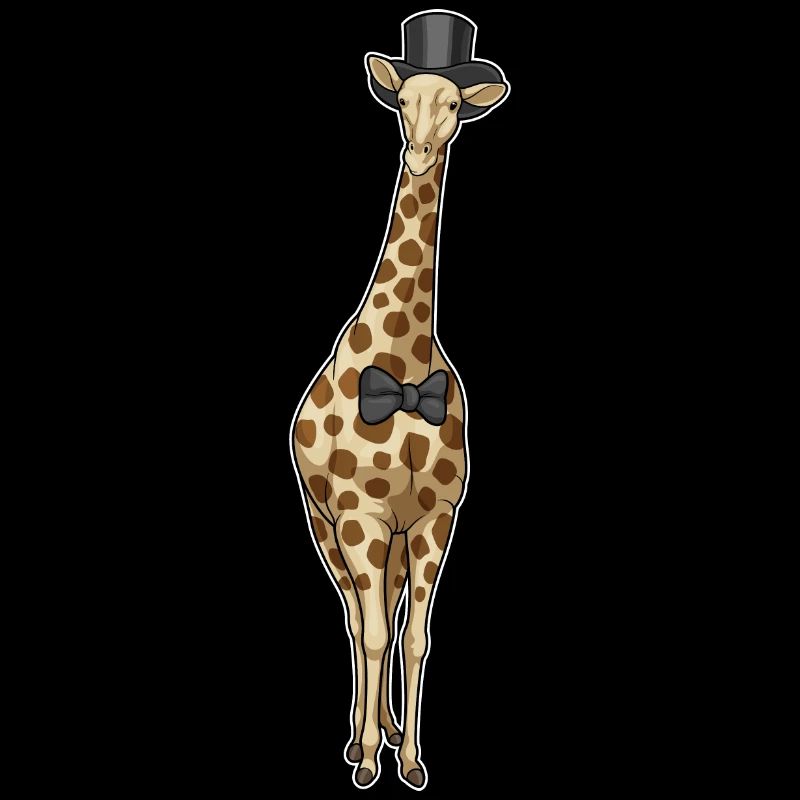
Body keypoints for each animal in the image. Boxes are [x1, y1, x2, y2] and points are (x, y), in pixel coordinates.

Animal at [290, 14, 507, 791]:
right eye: (402, 102)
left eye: (455, 106)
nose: (418, 153)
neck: (408, 368)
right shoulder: (360, 515)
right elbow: (376, 630)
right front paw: (366, 762)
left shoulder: (436, 519)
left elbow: (415, 635)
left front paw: (410, 760)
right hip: (324, 523)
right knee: (357, 621)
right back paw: (359, 741)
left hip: (387, 539)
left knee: (381, 610)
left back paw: (381, 729)